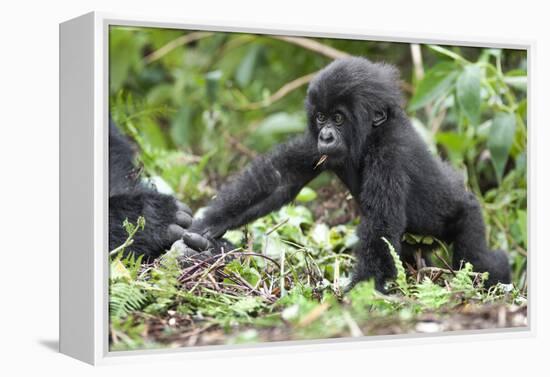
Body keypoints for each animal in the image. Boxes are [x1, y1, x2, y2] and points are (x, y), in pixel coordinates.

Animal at [190, 56, 512, 290]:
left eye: (338, 118)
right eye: (321, 117)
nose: (326, 136)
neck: (370, 136)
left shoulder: (389, 155)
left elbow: (380, 226)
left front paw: (358, 292)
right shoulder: (315, 146)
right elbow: (280, 179)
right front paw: (210, 223)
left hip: (468, 215)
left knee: (478, 259)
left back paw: (499, 273)